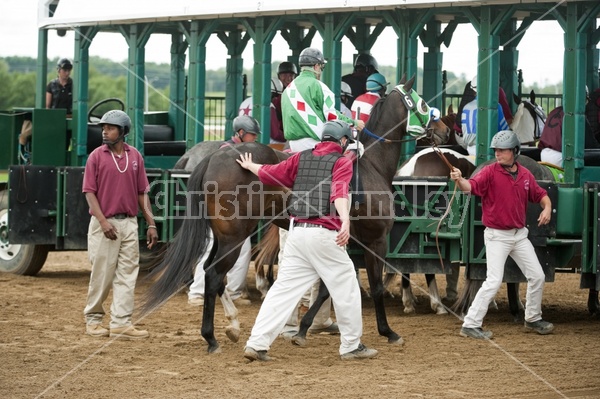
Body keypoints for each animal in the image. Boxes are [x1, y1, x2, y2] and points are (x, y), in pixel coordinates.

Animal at [142, 75, 450, 354]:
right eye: (423, 103)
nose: (445, 130)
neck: (371, 164)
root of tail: (213, 156)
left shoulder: (342, 241)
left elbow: (326, 288)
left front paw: (303, 329)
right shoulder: (375, 239)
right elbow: (373, 286)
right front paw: (388, 332)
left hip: (223, 234)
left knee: (210, 272)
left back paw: (232, 325)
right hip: (234, 235)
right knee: (215, 275)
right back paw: (213, 337)